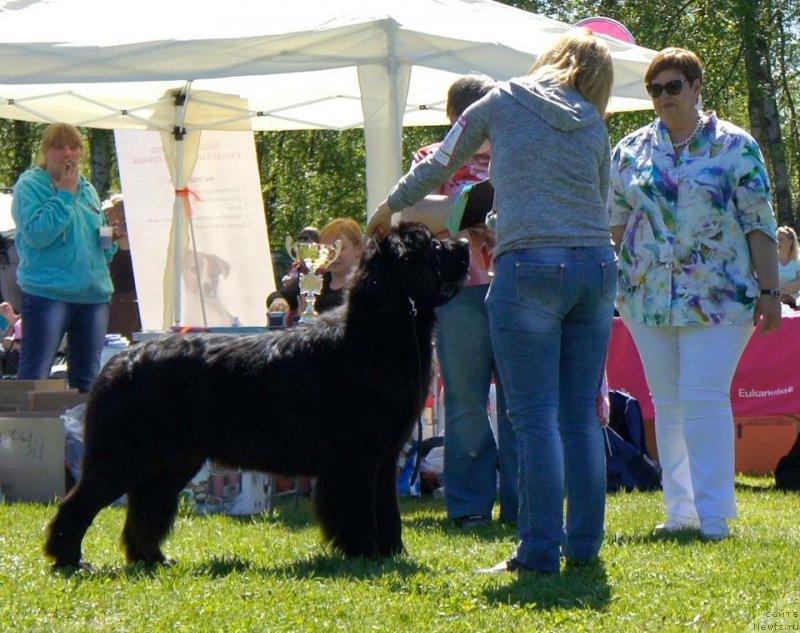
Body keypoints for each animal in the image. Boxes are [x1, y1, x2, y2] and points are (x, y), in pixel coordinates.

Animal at [45, 223, 468, 568]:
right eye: (433, 246)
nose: (464, 243)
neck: (376, 336)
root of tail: (120, 361)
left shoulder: (383, 458)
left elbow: (388, 511)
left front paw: (391, 553)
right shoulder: (355, 458)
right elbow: (359, 510)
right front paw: (364, 554)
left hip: (174, 460)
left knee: (147, 505)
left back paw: (152, 558)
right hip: (125, 454)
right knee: (81, 502)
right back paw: (69, 560)